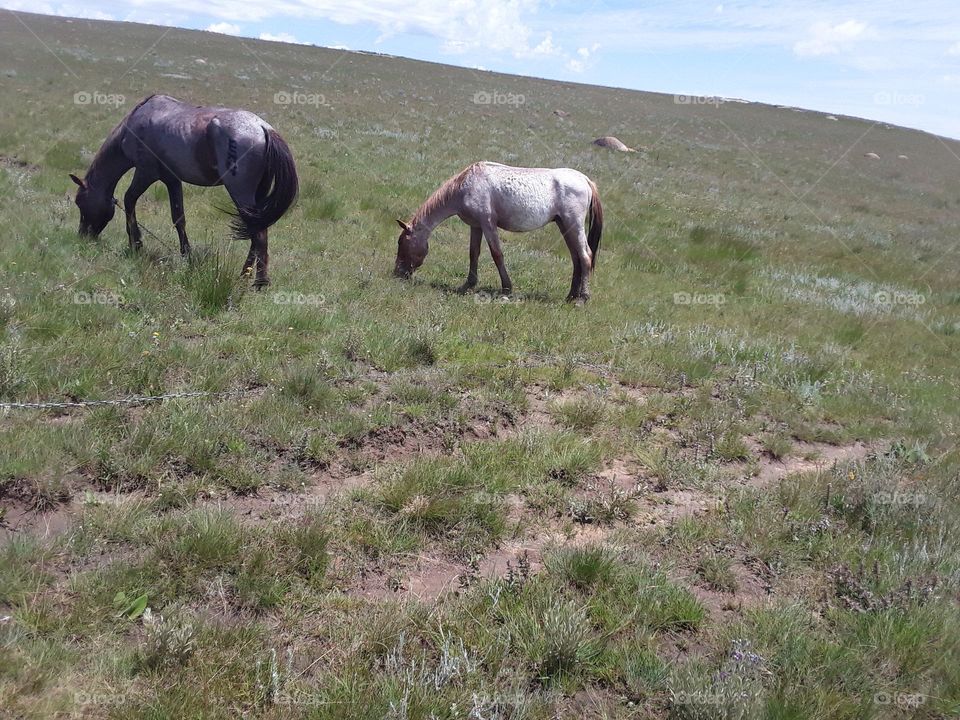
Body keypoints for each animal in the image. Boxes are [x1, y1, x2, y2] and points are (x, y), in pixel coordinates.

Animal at [69, 94, 299, 287]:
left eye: (80, 202)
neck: (134, 125)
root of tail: (263, 128)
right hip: (257, 198)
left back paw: (256, 281)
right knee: (258, 232)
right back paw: (247, 275)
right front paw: (186, 256)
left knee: (258, 235)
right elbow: (179, 218)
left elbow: (129, 200)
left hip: (241, 194)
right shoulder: (172, 180)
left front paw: (136, 243)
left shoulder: (145, 173)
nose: (83, 235)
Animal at [394, 161, 603, 303]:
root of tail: (585, 180)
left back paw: (582, 298)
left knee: (585, 256)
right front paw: (467, 285)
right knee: (576, 258)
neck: (466, 185)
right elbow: (473, 254)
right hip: (564, 225)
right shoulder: (476, 226)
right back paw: (571, 296)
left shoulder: (488, 224)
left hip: (573, 224)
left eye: (401, 243)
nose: (398, 273)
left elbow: (497, 255)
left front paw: (507, 289)